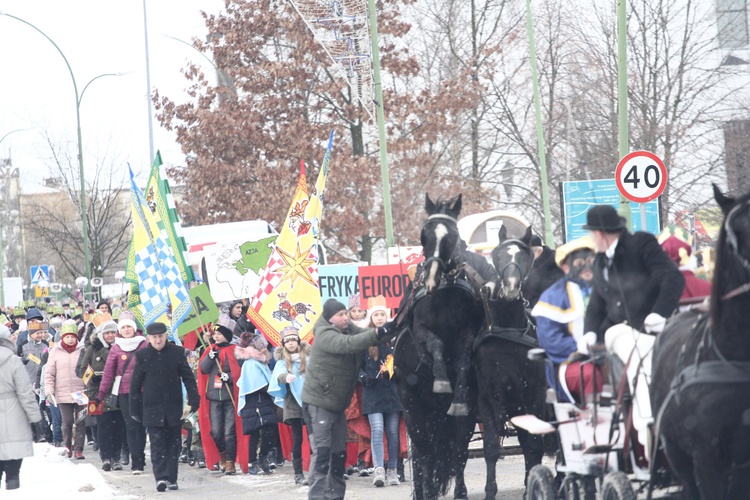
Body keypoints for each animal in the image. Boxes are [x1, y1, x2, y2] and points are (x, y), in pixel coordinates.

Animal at [396, 193, 484, 498]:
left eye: (453, 235)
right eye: (424, 234)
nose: (433, 277)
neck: (445, 293)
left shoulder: (469, 331)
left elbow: (464, 359)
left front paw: (453, 387)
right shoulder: (422, 330)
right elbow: (434, 344)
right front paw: (441, 380)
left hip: (462, 418)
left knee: (457, 449)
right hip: (413, 411)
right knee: (423, 454)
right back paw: (423, 490)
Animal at [476, 228, 548, 500]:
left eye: (525, 257)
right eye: (498, 255)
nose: (510, 287)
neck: (509, 332)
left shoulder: (535, 395)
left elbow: (534, 445)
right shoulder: (488, 397)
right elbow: (491, 448)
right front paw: (490, 491)